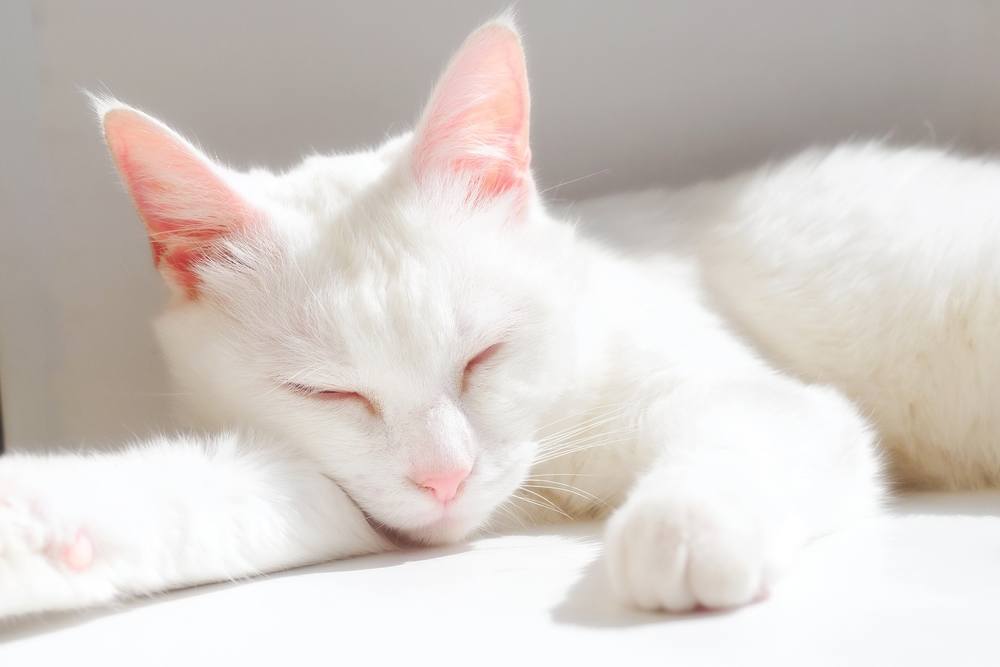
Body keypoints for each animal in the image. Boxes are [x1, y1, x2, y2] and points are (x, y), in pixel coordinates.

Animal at [1, 17, 1000, 620]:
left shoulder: (767, 397)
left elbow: (745, 432)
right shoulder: (321, 487)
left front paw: (683, 529)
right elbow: (204, 494)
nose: (445, 477)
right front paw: (42, 527)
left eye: (482, 356)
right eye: (330, 394)